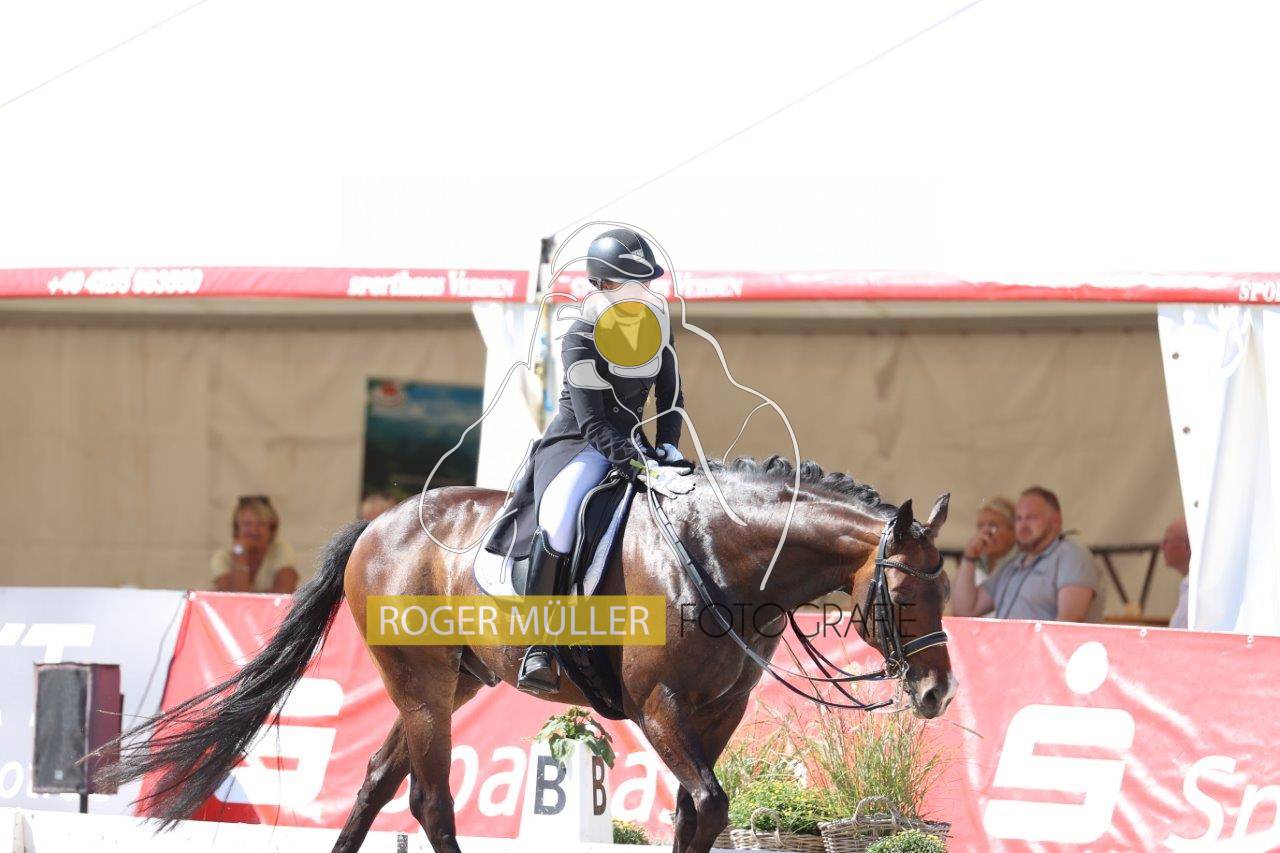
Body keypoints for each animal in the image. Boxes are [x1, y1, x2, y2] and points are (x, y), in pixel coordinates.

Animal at [101, 455, 956, 853]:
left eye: (947, 585)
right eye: (901, 589)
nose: (937, 693)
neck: (719, 555)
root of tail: (380, 522)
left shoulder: (720, 711)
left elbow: (696, 812)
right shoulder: (660, 708)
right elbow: (711, 802)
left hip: (451, 686)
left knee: (377, 782)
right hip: (421, 686)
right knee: (428, 798)